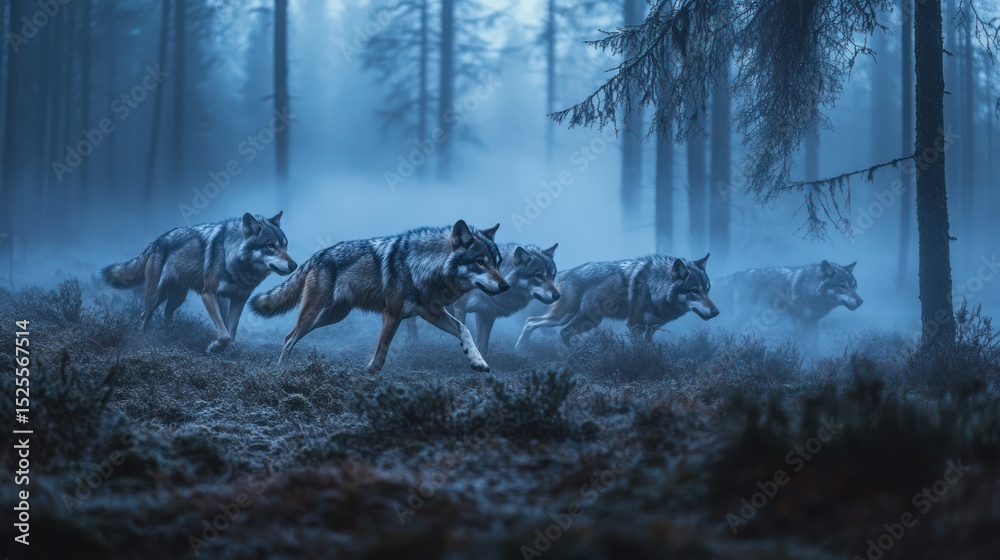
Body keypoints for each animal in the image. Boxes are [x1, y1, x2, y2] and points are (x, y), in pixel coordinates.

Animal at [102, 212, 297, 353]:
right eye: (271, 245)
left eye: (285, 246)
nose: (294, 265)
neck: (232, 257)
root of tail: (157, 240)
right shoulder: (208, 294)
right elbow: (225, 334)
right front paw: (214, 347)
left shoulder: (238, 299)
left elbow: (230, 332)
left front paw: (226, 351)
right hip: (156, 295)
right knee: (144, 316)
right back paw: (143, 339)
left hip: (176, 297)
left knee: (166, 314)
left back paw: (169, 336)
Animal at [249, 220, 509, 373]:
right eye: (480, 262)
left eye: (497, 263)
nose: (505, 285)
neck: (423, 266)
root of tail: (316, 256)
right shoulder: (392, 315)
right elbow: (380, 355)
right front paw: (367, 375)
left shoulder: (432, 313)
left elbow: (465, 331)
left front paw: (477, 361)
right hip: (317, 315)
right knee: (289, 338)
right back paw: (279, 373)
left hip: (333, 316)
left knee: (289, 336)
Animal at [515, 254, 719, 348]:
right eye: (694, 291)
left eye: (708, 290)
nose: (716, 312)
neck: (655, 286)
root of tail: (561, 274)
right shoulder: (634, 325)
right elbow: (640, 349)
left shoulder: (652, 327)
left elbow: (649, 344)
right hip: (562, 316)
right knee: (531, 322)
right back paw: (520, 349)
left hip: (590, 322)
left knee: (564, 333)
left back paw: (576, 356)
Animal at [712, 260, 862, 349]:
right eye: (842, 286)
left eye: (854, 286)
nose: (860, 301)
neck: (809, 289)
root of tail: (733, 277)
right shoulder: (800, 320)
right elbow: (806, 345)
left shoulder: (812, 322)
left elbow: (814, 345)